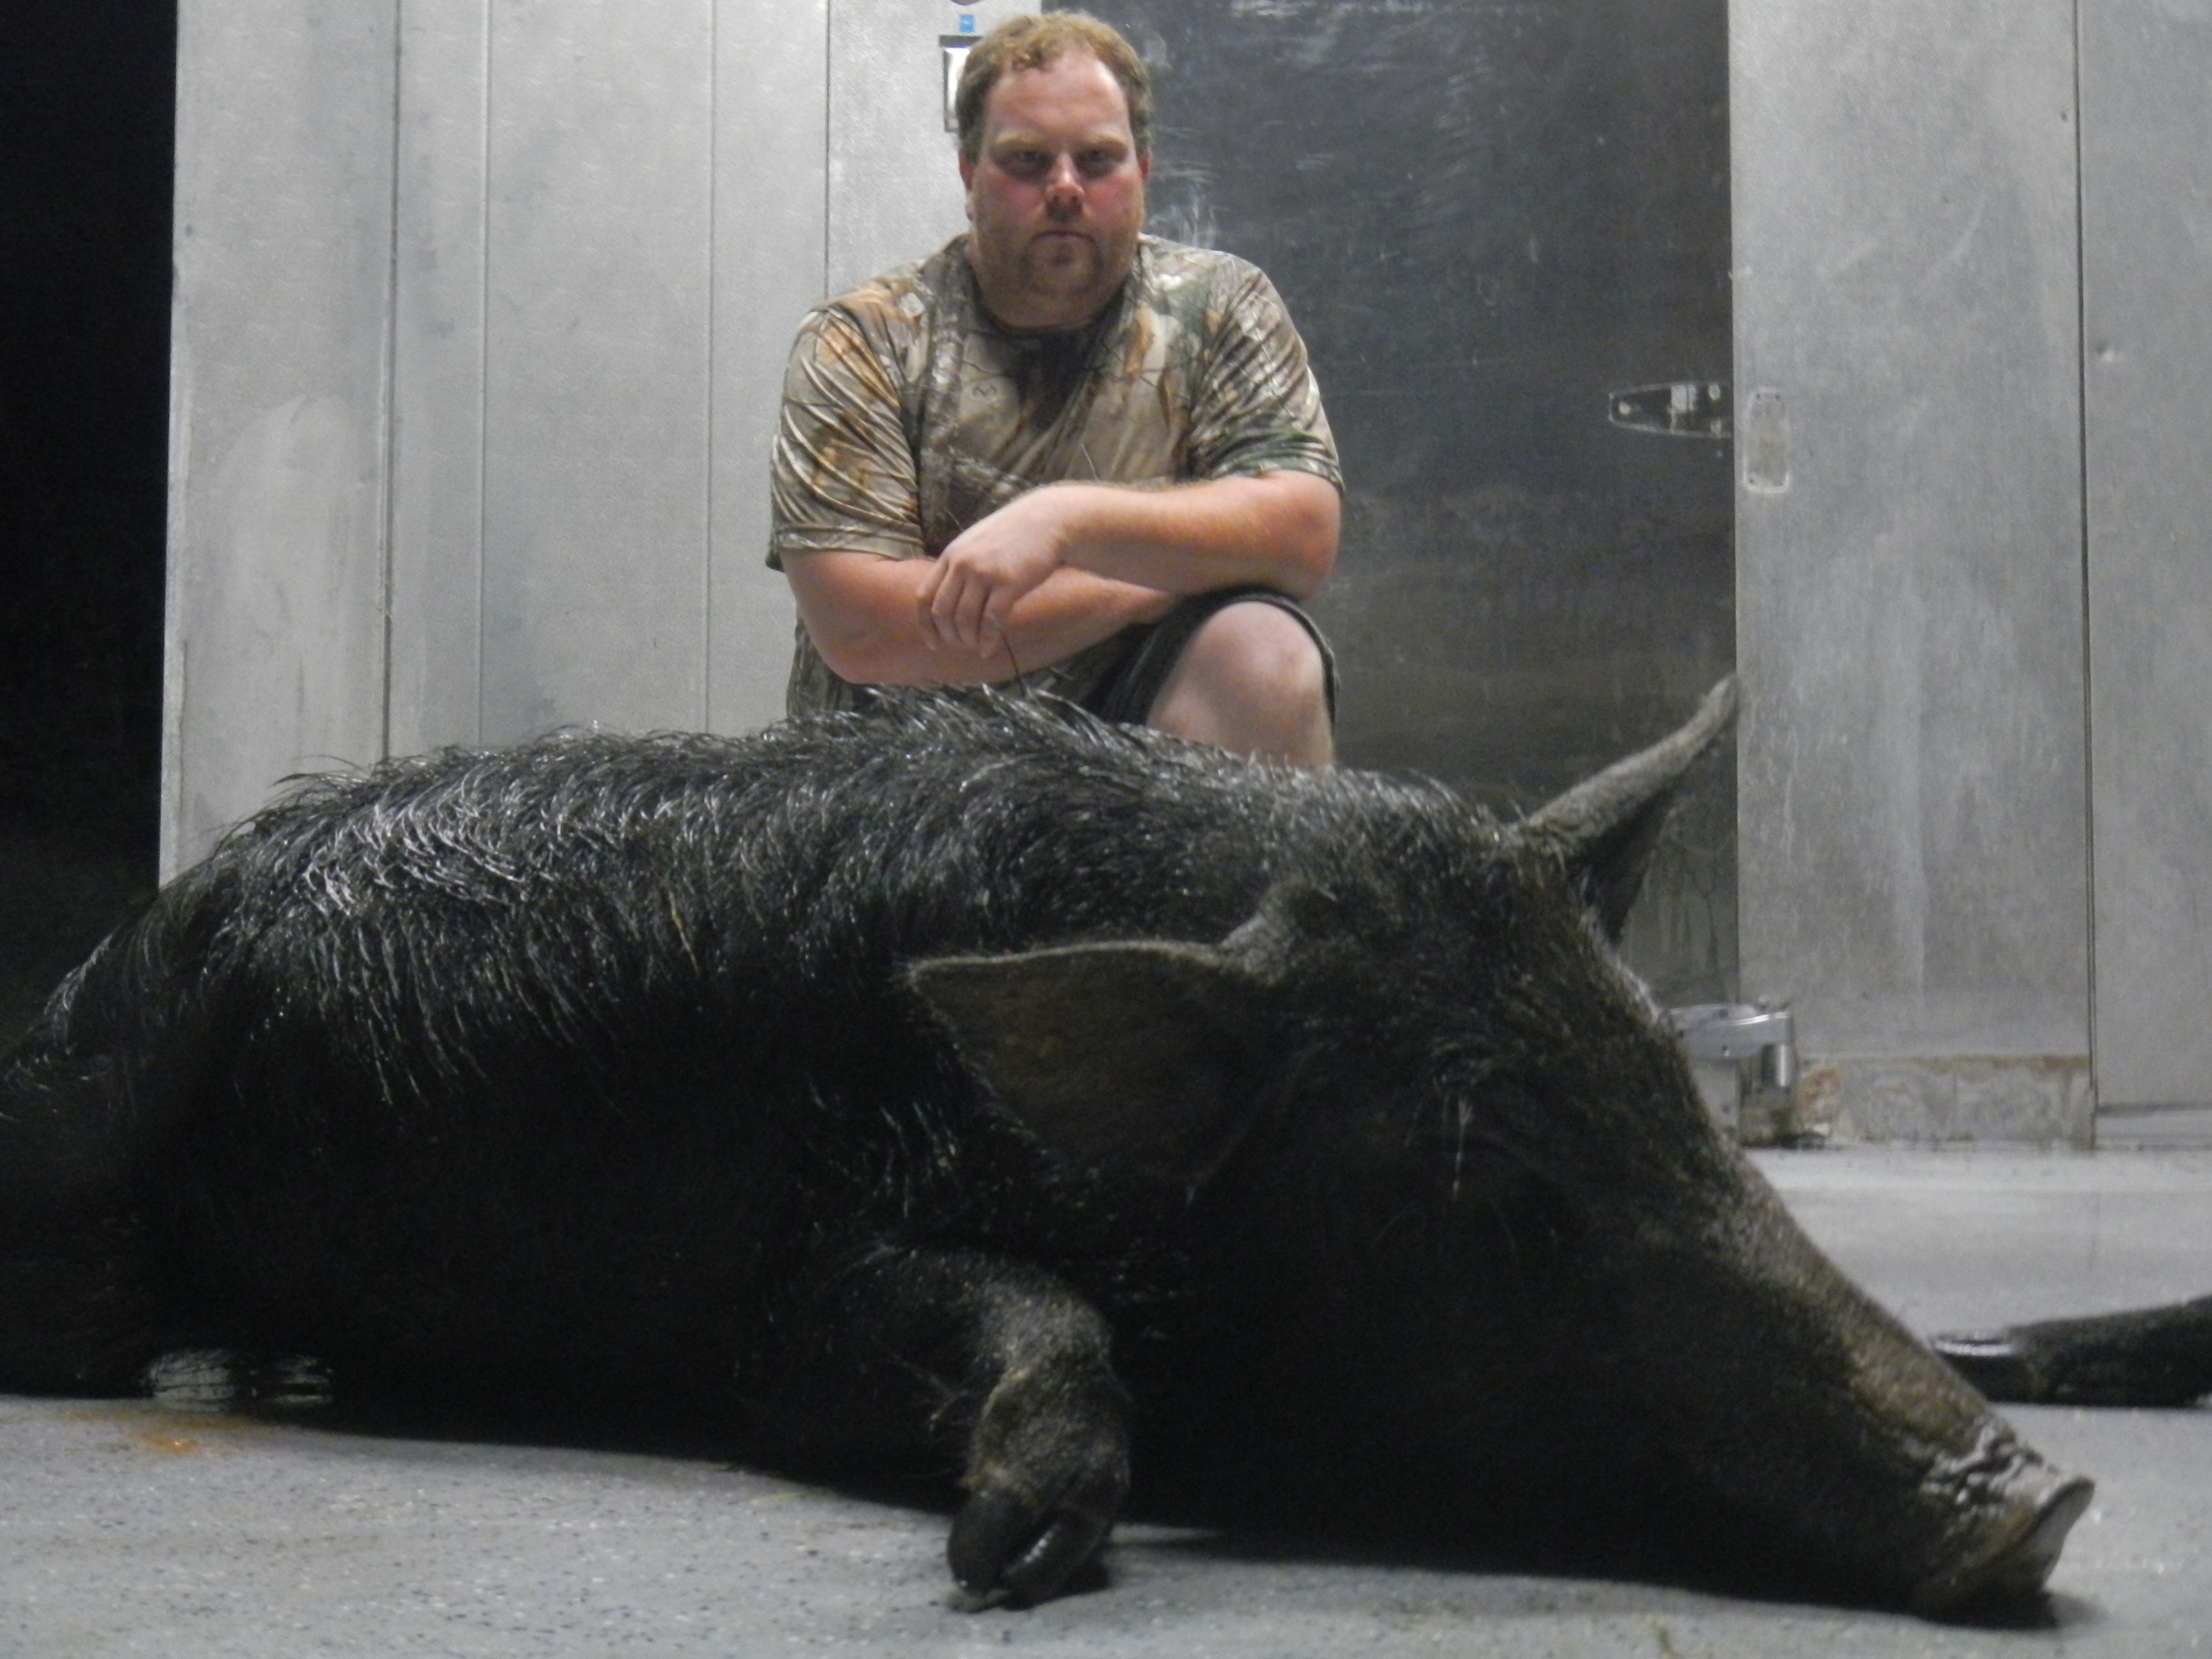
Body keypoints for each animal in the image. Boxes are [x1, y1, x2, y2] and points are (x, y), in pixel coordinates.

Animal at [0, 683, 2089, 1614]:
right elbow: (1014, 1324)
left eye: (1663, 1078)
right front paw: (1012, 1550)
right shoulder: (787, 1302)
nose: (2038, 1497)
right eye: (1485, 1185)